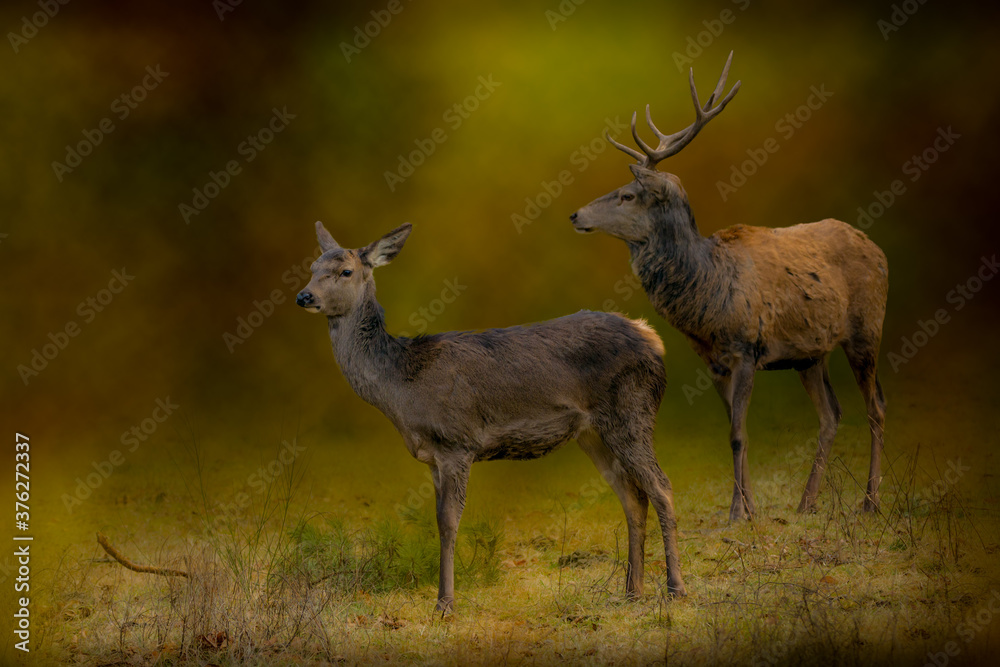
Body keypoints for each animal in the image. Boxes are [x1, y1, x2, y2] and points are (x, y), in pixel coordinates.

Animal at [295, 221, 686, 612]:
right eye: (312, 267)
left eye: (346, 271)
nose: (304, 296)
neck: (400, 386)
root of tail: (652, 337)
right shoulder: (432, 457)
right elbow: (438, 518)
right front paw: (443, 599)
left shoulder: (457, 441)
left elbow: (449, 521)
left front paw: (445, 603)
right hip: (593, 433)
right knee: (633, 497)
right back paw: (632, 591)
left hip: (632, 412)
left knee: (662, 487)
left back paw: (675, 588)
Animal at [570, 52, 888, 522]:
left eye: (628, 194)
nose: (576, 215)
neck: (708, 296)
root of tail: (877, 248)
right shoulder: (714, 361)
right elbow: (737, 433)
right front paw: (748, 507)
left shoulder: (748, 348)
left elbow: (737, 434)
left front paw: (738, 512)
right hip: (810, 354)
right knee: (832, 414)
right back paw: (806, 502)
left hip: (867, 329)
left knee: (876, 407)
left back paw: (869, 502)